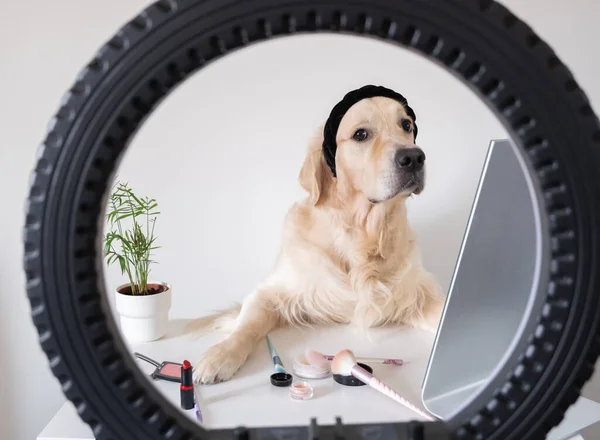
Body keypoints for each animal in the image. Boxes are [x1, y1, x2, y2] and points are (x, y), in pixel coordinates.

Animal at [191, 85, 446, 382]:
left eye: (406, 125)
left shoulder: (417, 292)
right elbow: (246, 325)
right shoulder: (268, 292)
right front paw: (221, 354)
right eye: (361, 134)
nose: (414, 157)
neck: (362, 234)